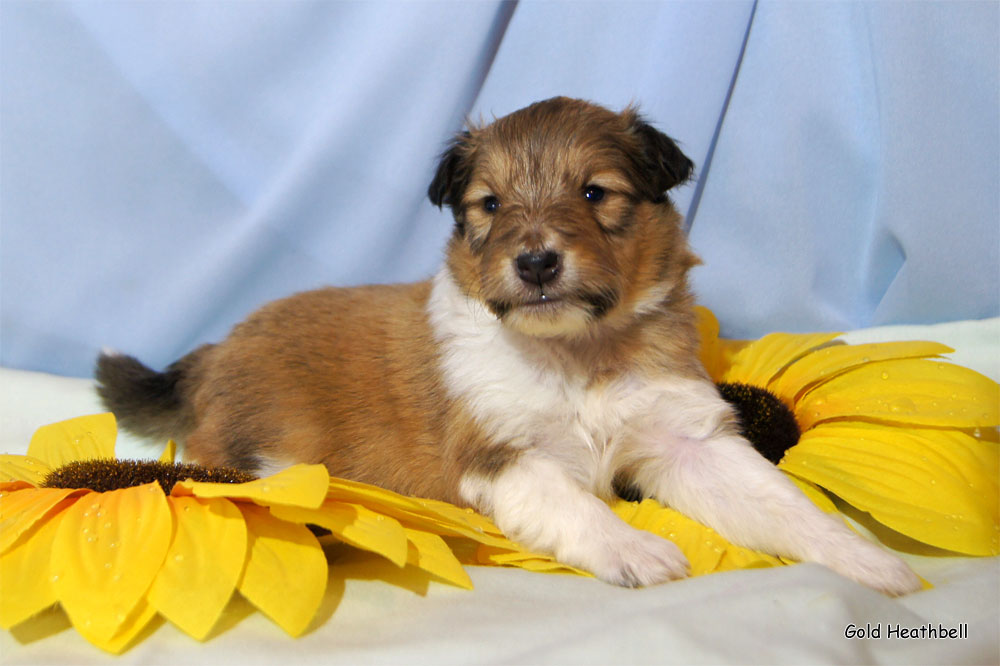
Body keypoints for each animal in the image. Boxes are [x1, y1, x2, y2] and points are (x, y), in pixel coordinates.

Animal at [95, 97, 920, 592]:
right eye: (489, 205)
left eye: (594, 193)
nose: (536, 263)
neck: (576, 353)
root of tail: (212, 352)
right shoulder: (500, 456)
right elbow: (577, 504)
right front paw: (639, 551)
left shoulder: (688, 441)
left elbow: (786, 503)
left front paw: (871, 560)